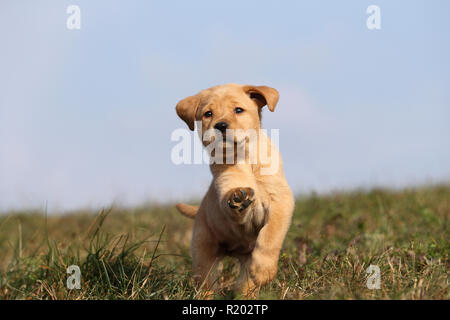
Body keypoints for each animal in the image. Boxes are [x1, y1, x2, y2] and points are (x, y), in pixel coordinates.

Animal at [174, 83, 294, 298]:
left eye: (238, 110)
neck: (245, 158)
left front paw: (264, 271)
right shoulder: (225, 188)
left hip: (245, 264)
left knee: (244, 284)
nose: (221, 125)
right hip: (203, 252)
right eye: (208, 113)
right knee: (207, 283)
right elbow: (231, 201)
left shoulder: (280, 201)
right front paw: (238, 198)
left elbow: (270, 236)